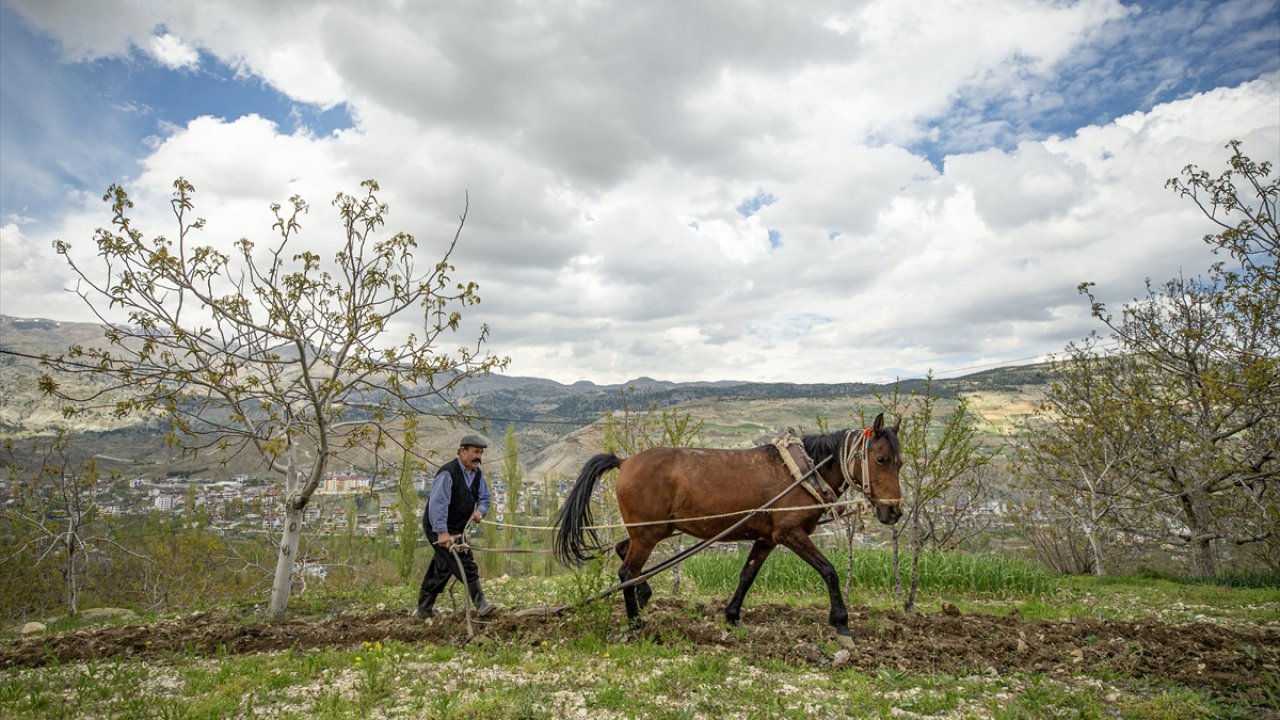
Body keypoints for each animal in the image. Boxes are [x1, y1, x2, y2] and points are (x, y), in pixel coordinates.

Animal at [555, 409, 906, 638]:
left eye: (901, 462)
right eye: (881, 459)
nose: (894, 512)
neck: (802, 472)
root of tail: (625, 461)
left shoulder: (768, 538)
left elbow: (747, 575)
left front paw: (732, 616)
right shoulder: (790, 533)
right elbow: (829, 570)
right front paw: (841, 622)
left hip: (656, 530)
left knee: (622, 551)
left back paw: (643, 595)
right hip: (648, 534)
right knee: (627, 570)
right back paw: (635, 624)